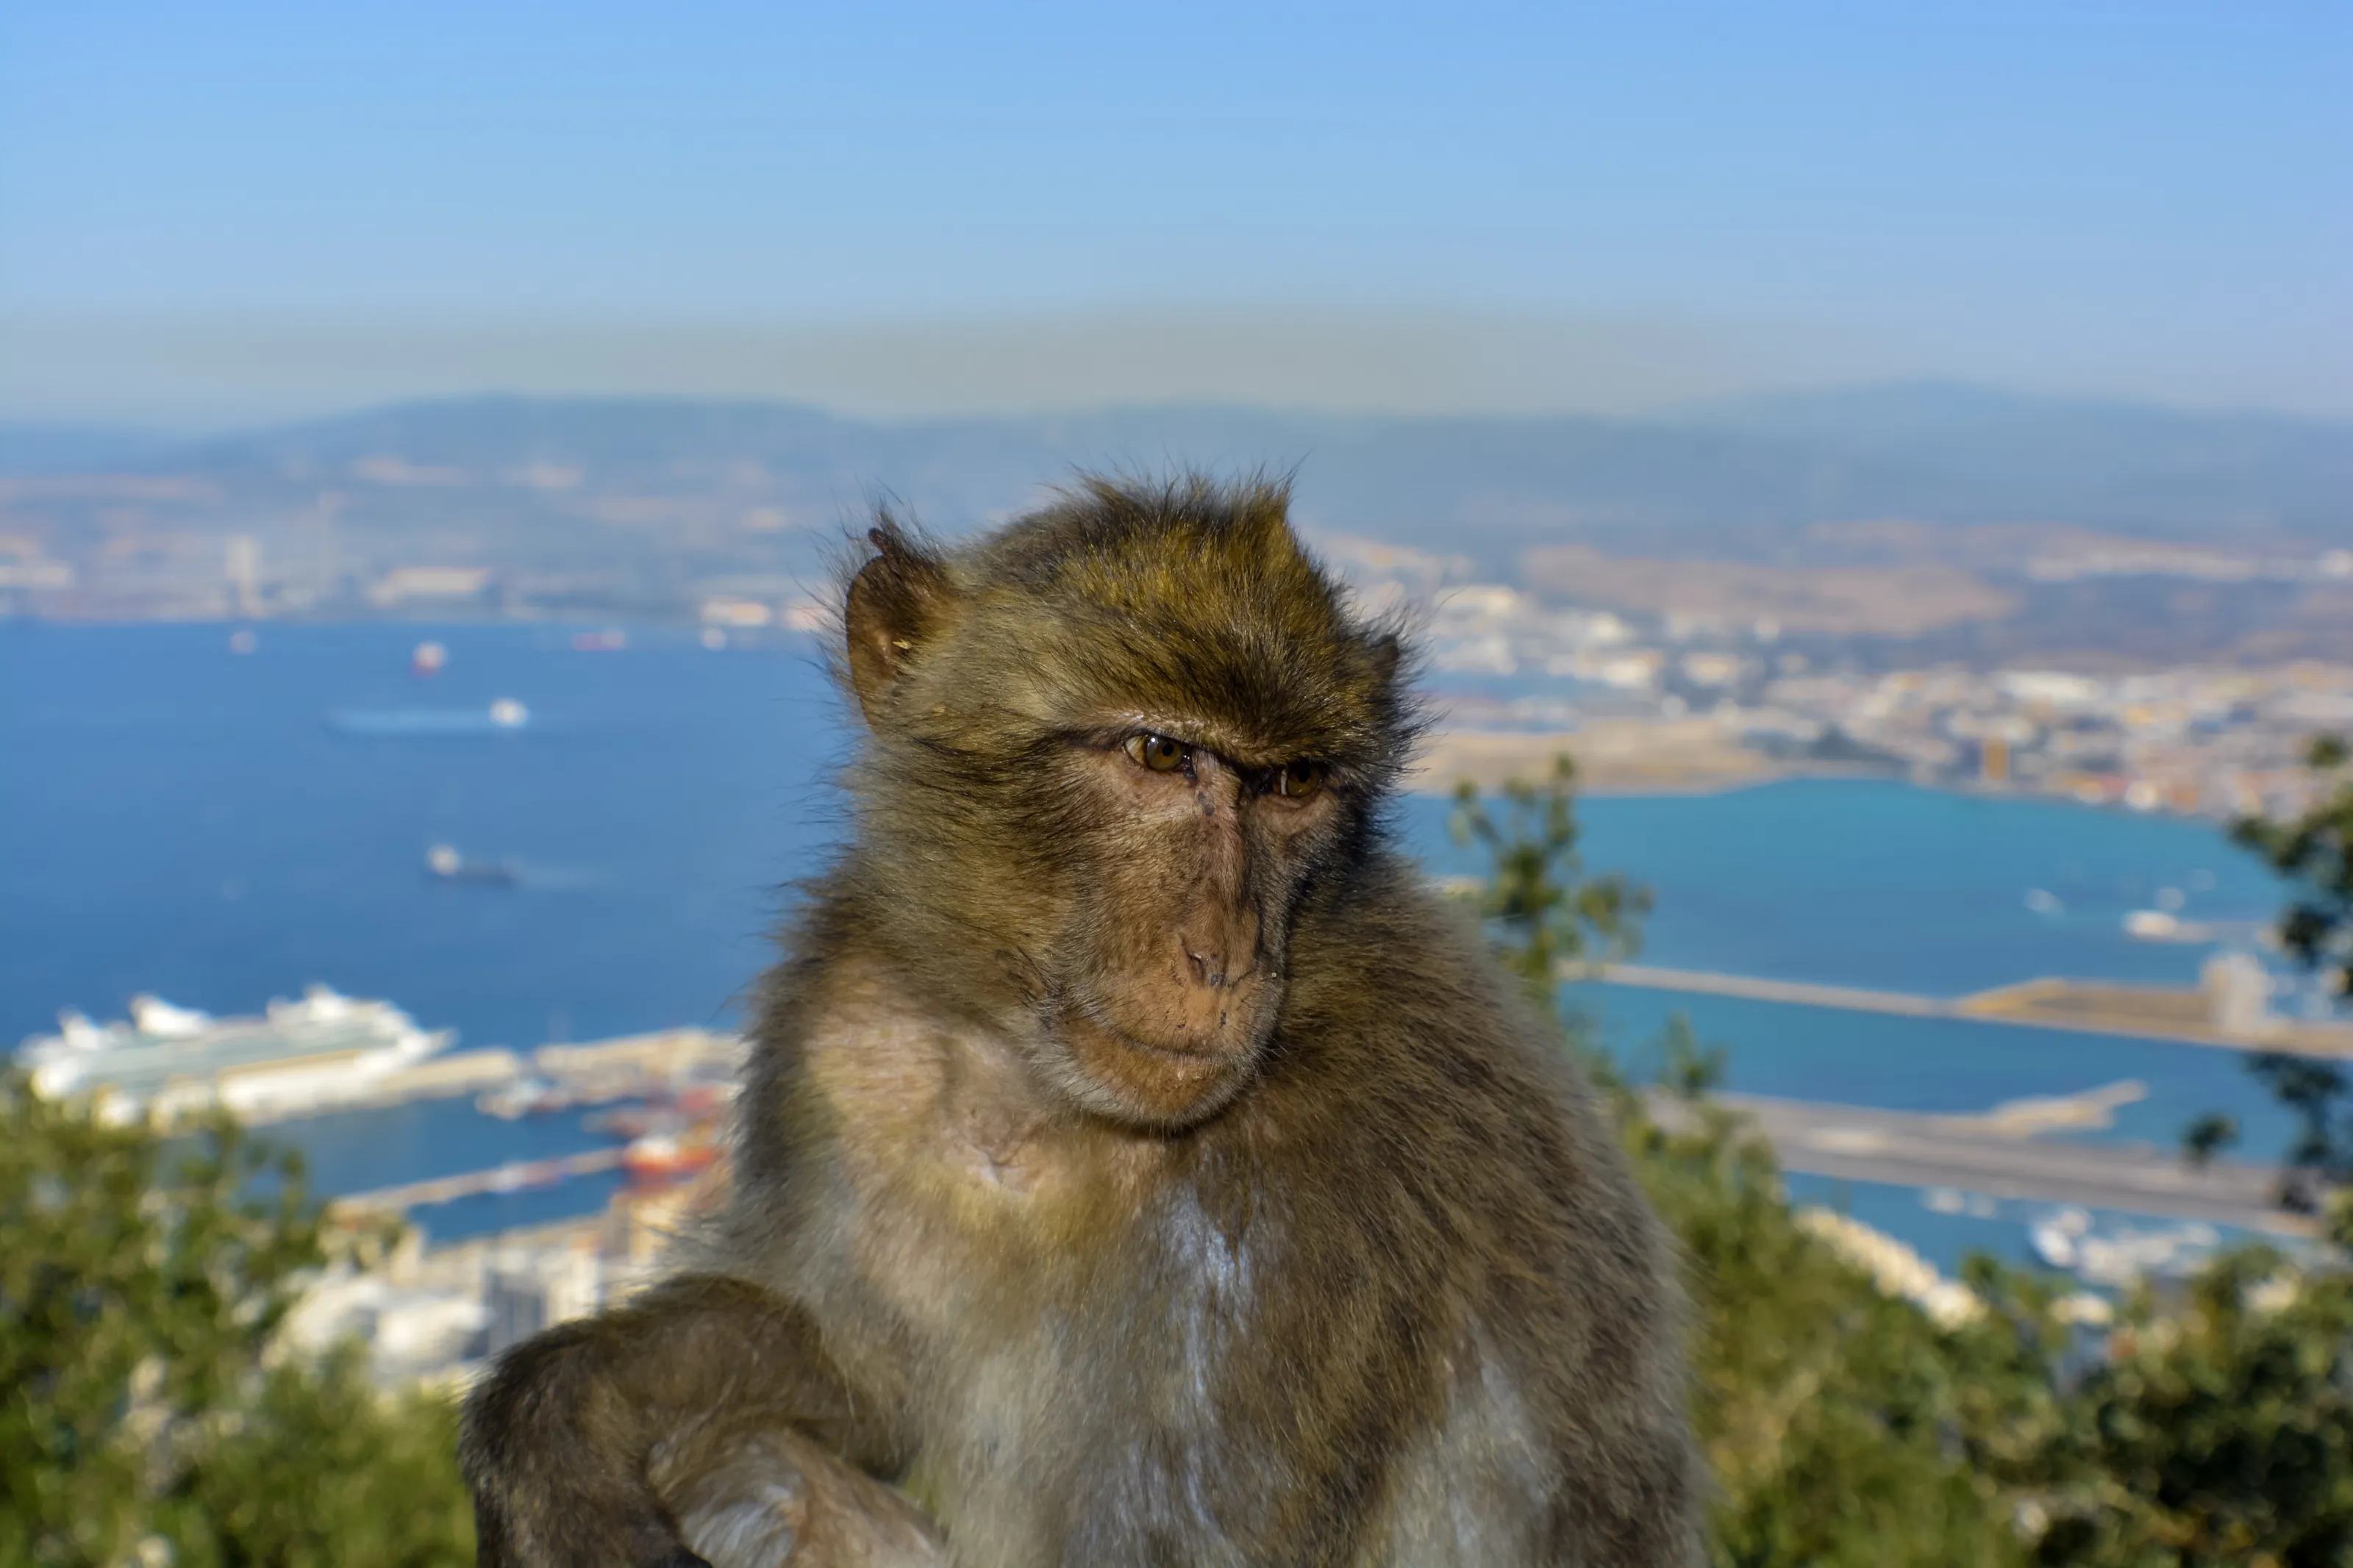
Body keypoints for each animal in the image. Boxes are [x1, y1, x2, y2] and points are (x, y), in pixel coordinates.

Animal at [460, 473, 1702, 1567]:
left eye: (1291, 784)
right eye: (1160, 753)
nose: (1226, 955)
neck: (1038, 1087)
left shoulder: (1318, 1203)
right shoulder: (844, 1038)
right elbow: (852, 1377)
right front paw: (560, 1415)